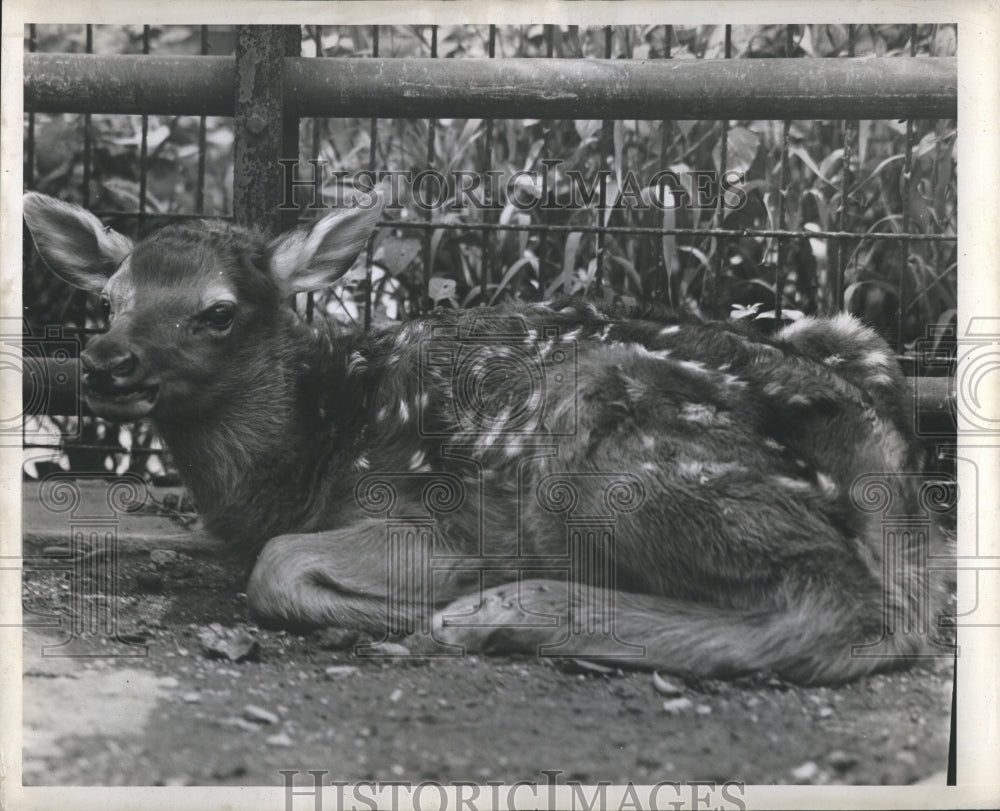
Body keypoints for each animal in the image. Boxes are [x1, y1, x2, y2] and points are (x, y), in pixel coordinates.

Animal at [23, 190, 952, 684]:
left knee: (845, 607)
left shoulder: (422, 508)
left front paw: (429, 596)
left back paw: (493, 611)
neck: (303, 455)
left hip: (616, 443)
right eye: (110, 298)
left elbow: (277, 564)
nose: (105, 361)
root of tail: (886, 468)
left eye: (216, 311)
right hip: (838, 339)